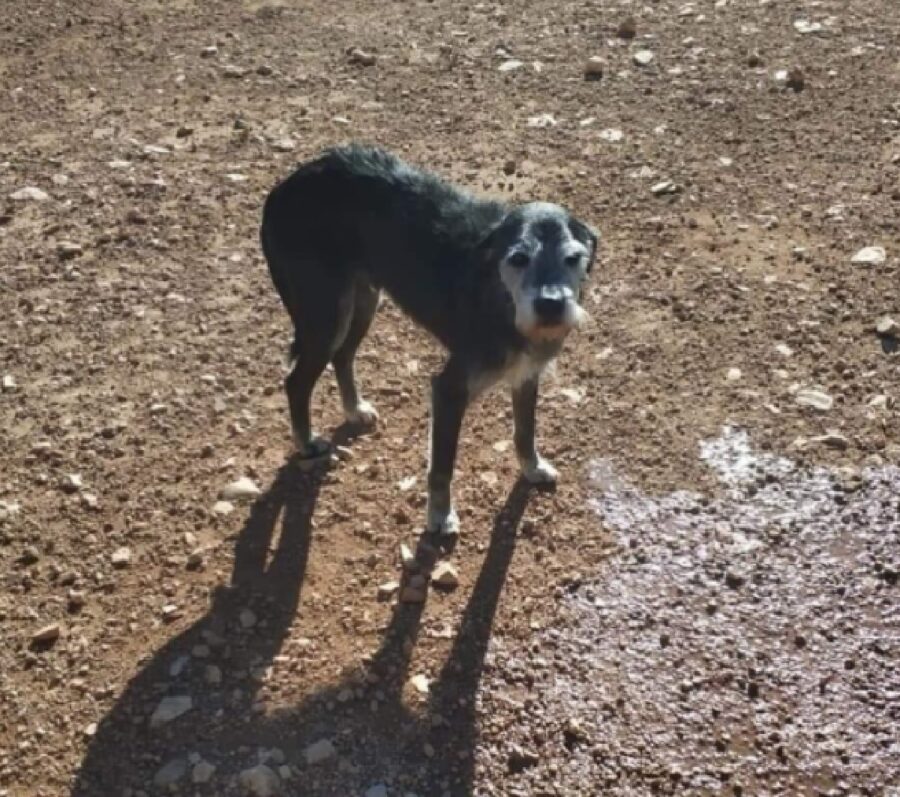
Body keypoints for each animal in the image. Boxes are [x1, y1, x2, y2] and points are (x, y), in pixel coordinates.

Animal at [260, 148, 596, 536]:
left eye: (573, 258)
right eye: (518, 258)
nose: (551, 305)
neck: (499, 297)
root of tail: (283, 189)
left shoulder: (527, 374)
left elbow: (525, 431)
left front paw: (532, 468)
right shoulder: (449, 390)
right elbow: (442, 467)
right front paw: (439, 516)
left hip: (363, 299)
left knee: (343, 356)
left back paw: (354, 409)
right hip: (326, 315)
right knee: (296, 382)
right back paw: (307, 443)